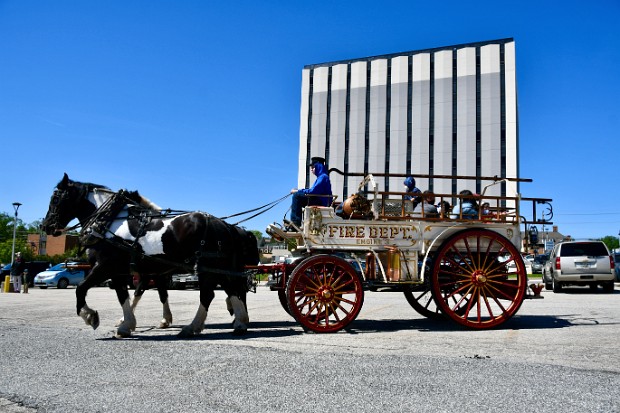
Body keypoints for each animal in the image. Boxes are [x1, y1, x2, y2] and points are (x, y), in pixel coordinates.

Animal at [41, 172, 258, 336]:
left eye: (55, 198)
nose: (46, 226)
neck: (108, 222)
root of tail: (224, 225)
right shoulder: (124, 272)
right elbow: (126, 295)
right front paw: (127, 324)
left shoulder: (105, 266)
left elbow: (81, 289)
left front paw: (91, 316)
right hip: (219, 268)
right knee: (231, 290)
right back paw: (238, 322)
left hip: (209, 267)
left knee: (210, 294)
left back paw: (195, 326)